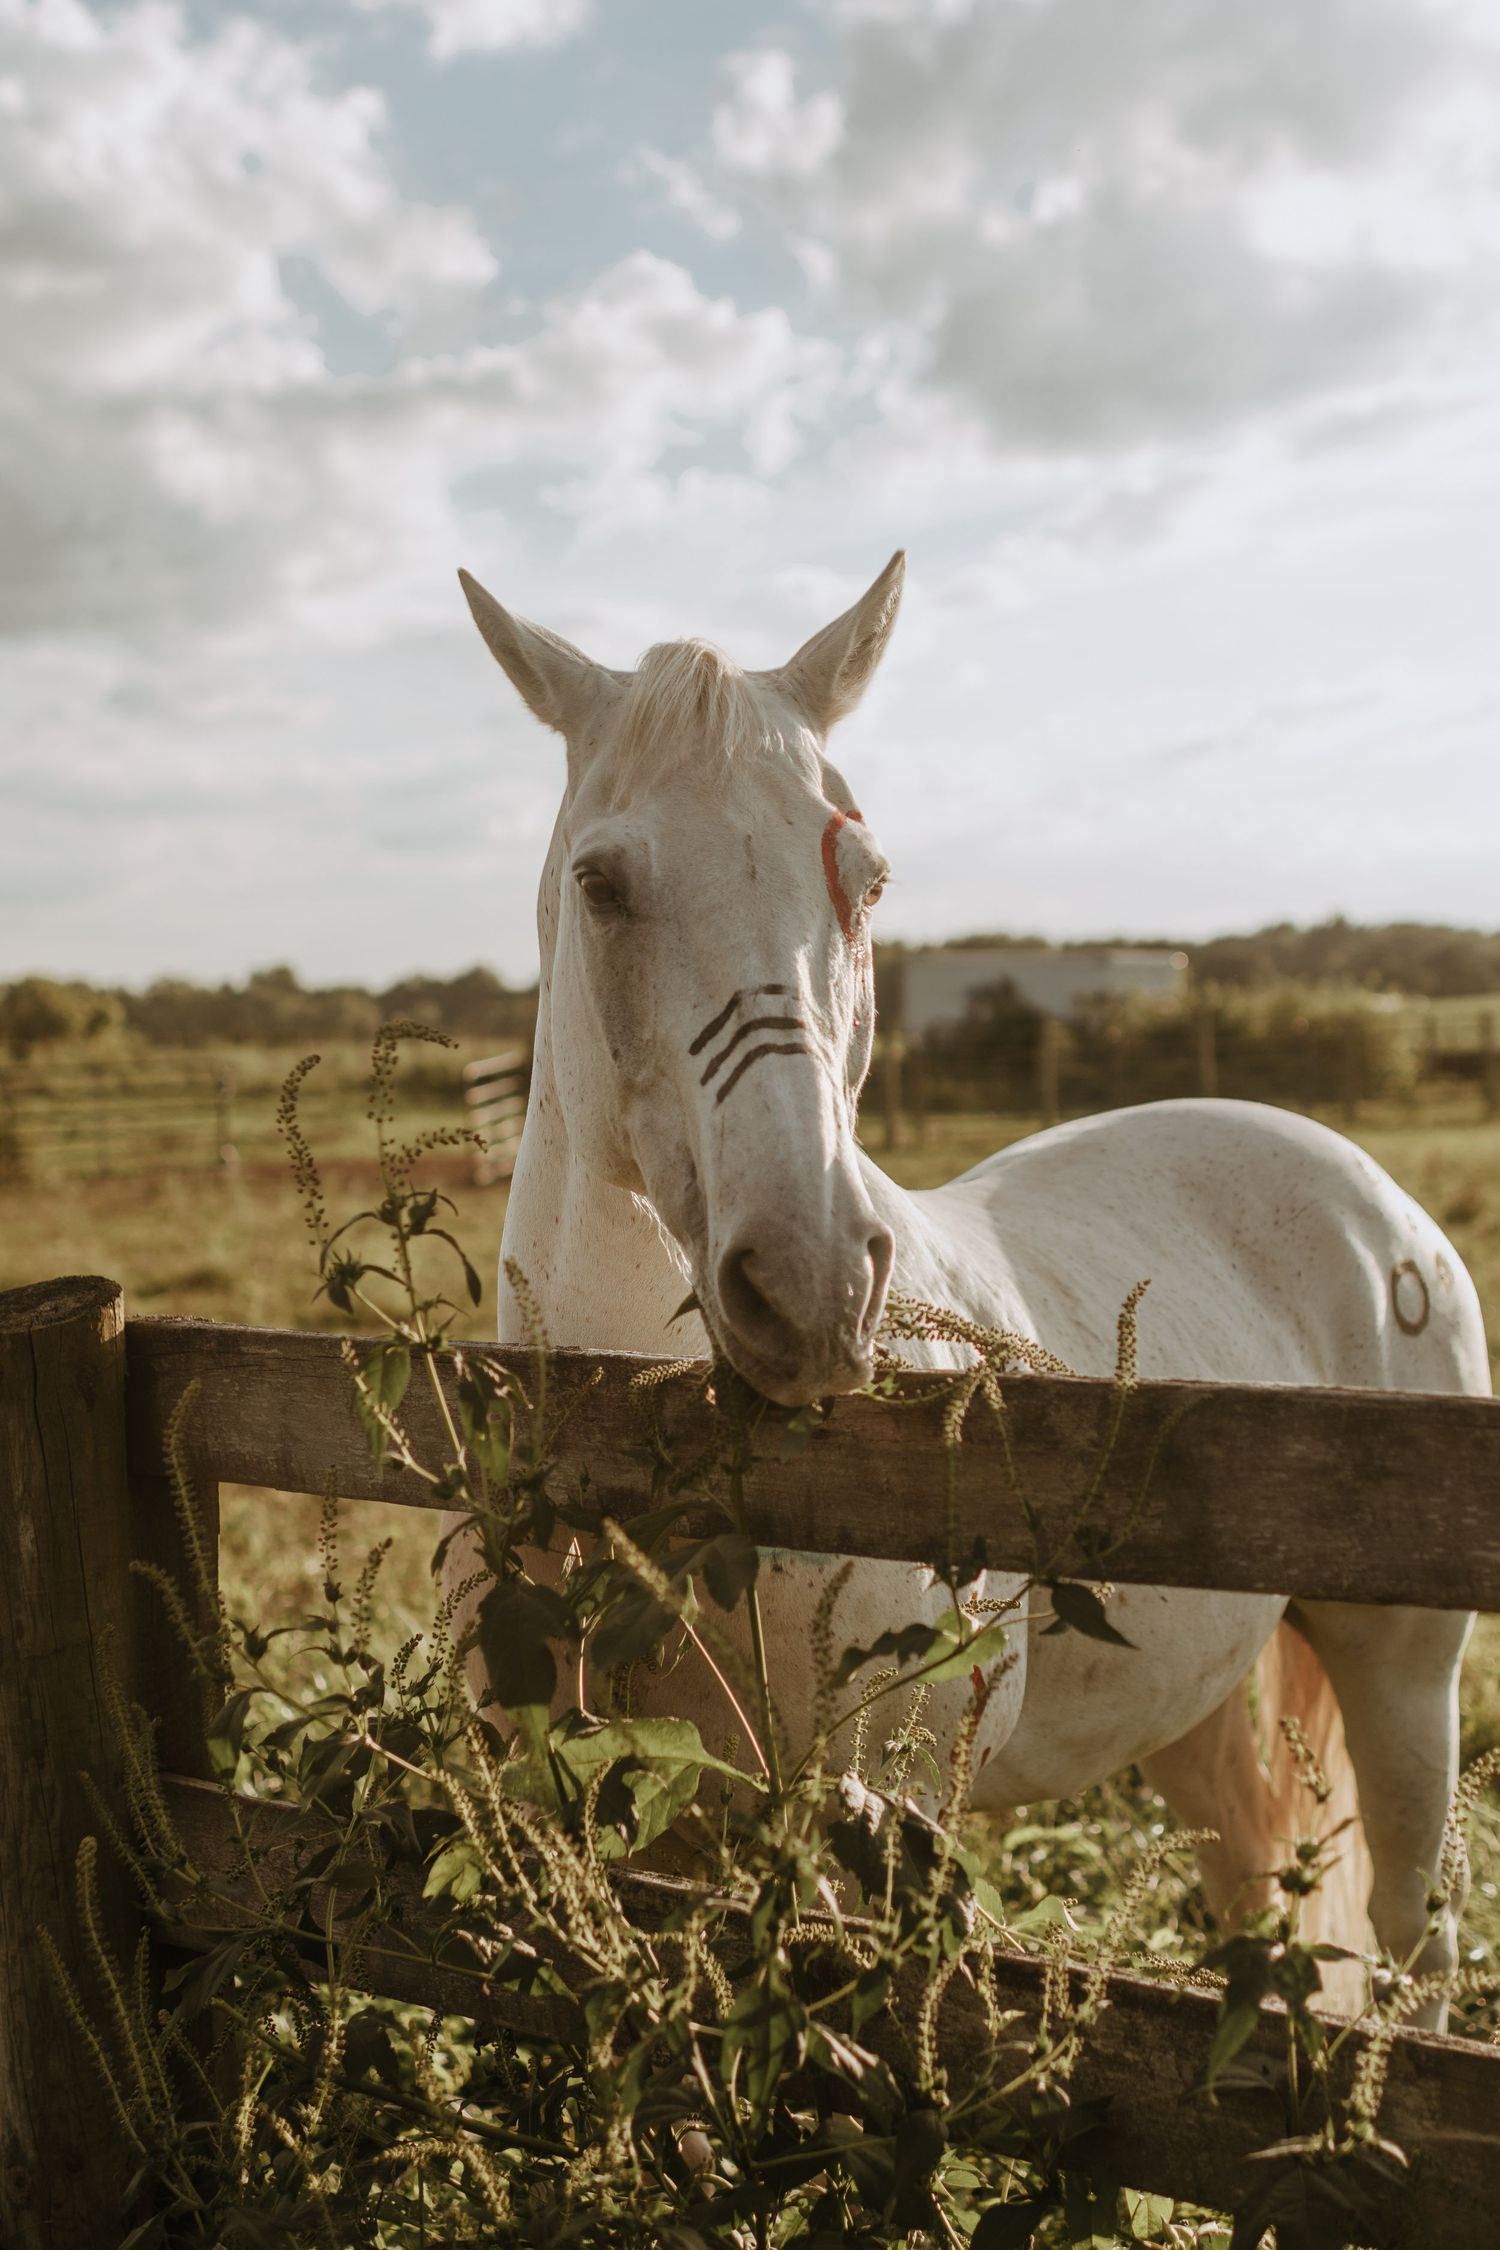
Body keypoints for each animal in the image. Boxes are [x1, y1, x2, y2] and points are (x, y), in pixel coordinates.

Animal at [449, 550, 1488, 2030]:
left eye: (868, 878)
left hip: (1407, 1669)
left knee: (1415, 1943)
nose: (814, 1281)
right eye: (601, 882)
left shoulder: (864, 1821)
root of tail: (1379, 1202)